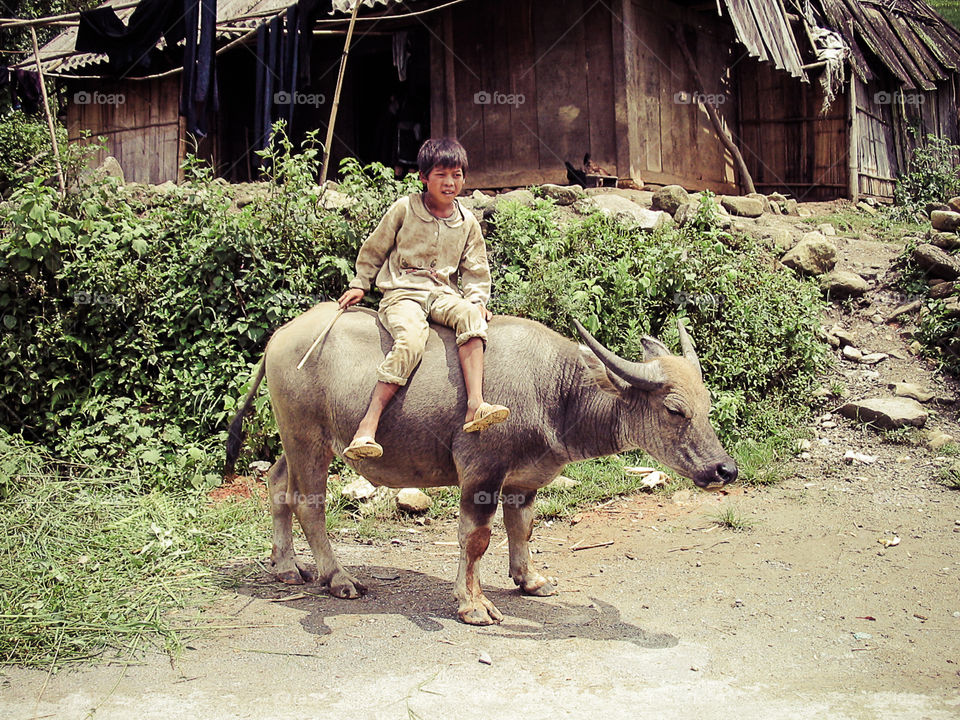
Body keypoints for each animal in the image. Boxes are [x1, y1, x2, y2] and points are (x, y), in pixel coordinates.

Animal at [225, 302, 737, 625]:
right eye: (674, 410)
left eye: (707, 404)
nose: (724, 470)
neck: (557, 392)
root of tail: (280, 337)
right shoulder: (481, 472)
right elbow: (476, 539)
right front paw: (473, 605)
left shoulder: (523, 480)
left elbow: (522, 527)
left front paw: (530, 580)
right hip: (308, 438)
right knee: (308, 502)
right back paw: (338, 578)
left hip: (296, 439)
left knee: (277, 485)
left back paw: (286, 566)